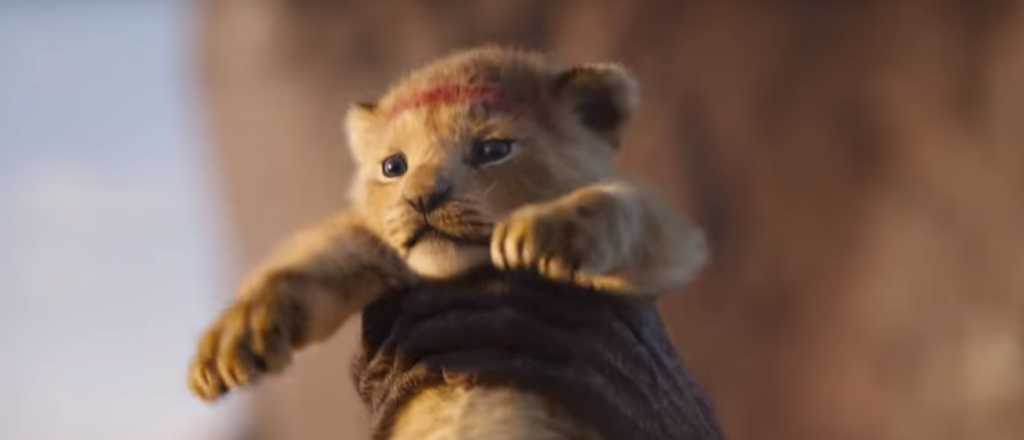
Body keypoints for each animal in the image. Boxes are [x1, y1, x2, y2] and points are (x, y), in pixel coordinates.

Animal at [188, 46, 708, 439]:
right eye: (393, 166)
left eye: (493, 150)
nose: (421, 198)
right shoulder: (370, 247)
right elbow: (304, 264)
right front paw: (231, 343)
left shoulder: (672, 244)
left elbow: (622, 206)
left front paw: (541, 233)